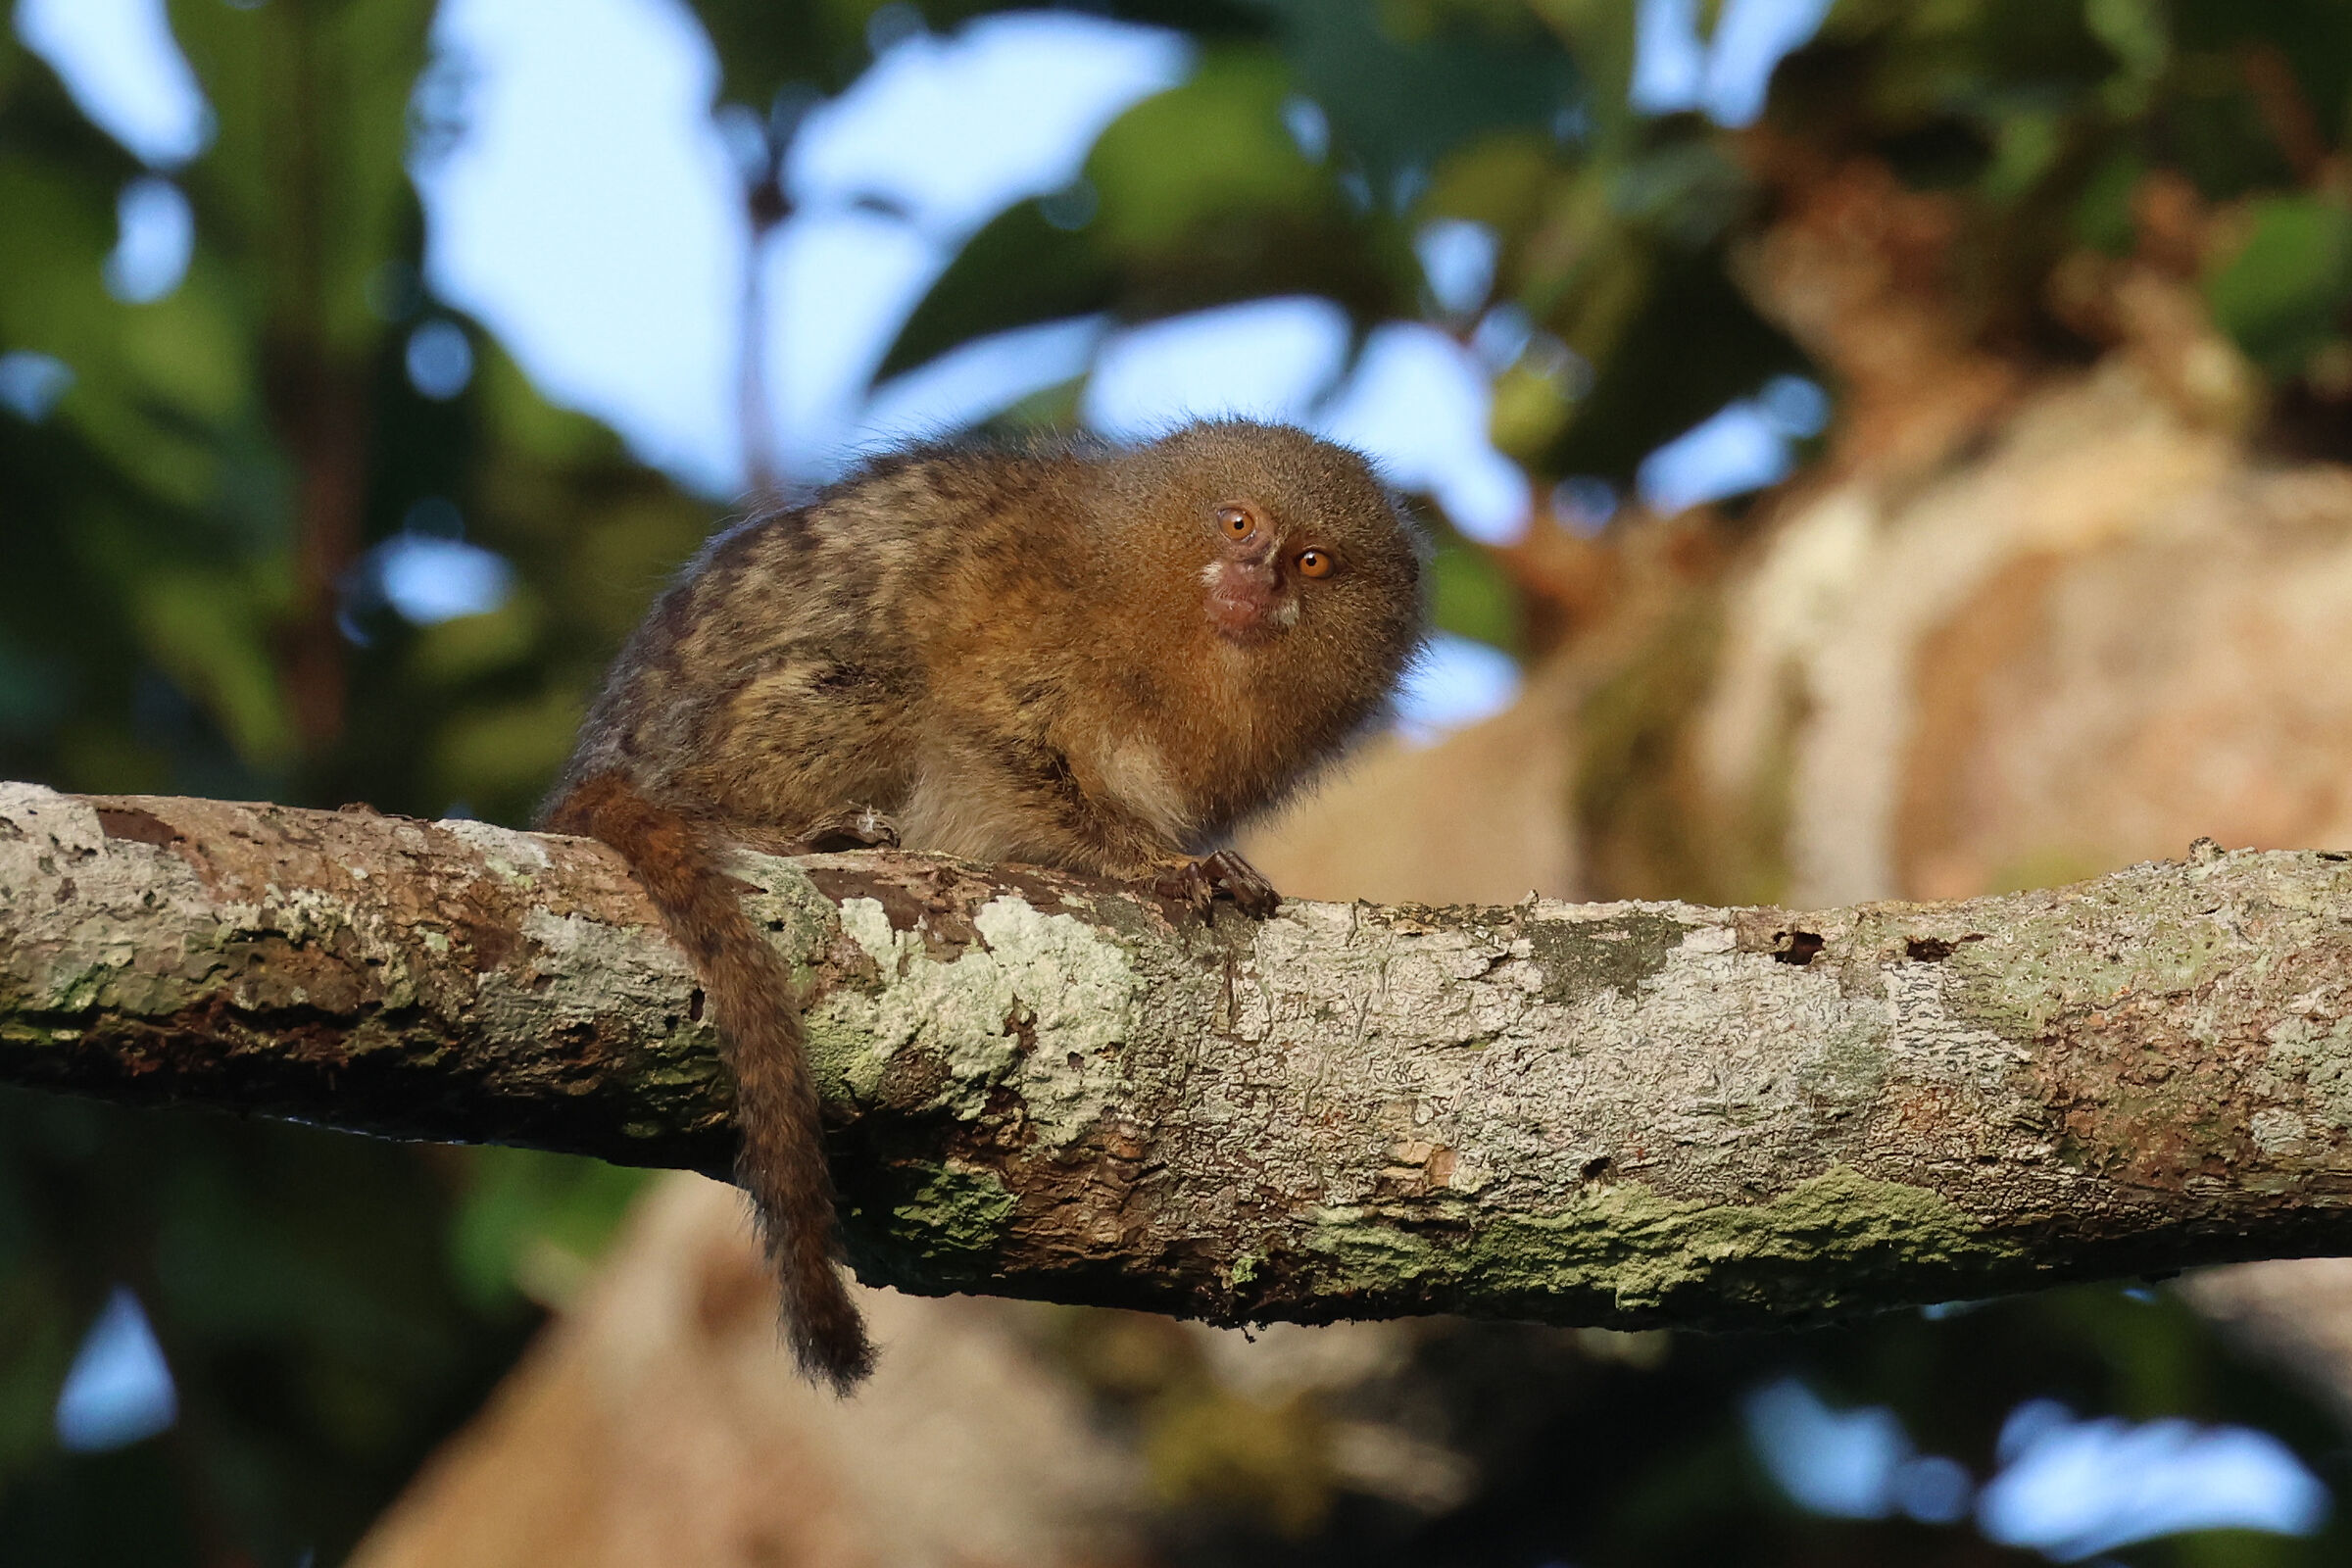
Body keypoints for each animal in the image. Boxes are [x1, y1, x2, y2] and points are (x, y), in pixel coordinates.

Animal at [539, 419, 1425, 1393]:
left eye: (1310, 561)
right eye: (1238, 523)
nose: (1254, 578)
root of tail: (600, 780)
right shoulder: (1011, 601)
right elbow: (1001, 739)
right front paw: (1156, 864)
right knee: (882, 680)